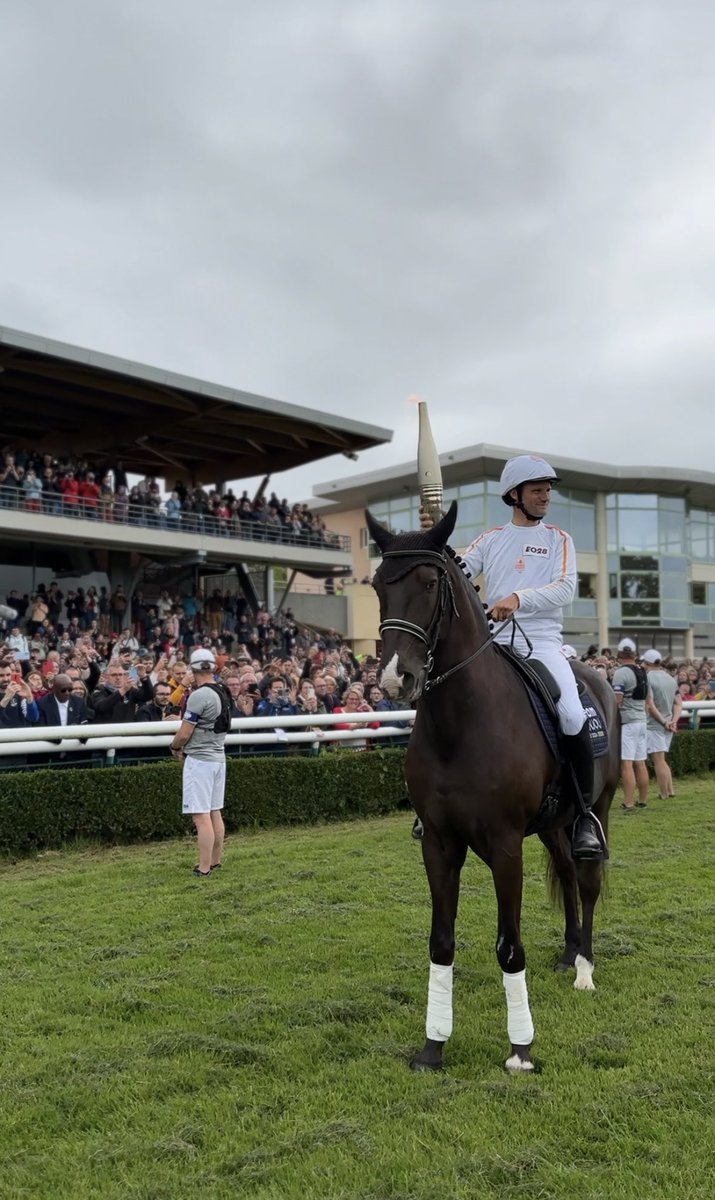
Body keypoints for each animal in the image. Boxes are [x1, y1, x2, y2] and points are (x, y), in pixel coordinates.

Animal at [369, 501, 619, 1075]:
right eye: (376, 586)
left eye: (429, 582)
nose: (396, 680)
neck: (460, 724)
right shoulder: (440, 845)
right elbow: (441, 943)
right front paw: (433, 1047)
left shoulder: (505, 847)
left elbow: (510, 946)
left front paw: (521, 1051)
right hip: (553, 825)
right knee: (567, 872)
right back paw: (569, 952)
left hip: (597, 810)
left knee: (588, 880)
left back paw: (585, 968)